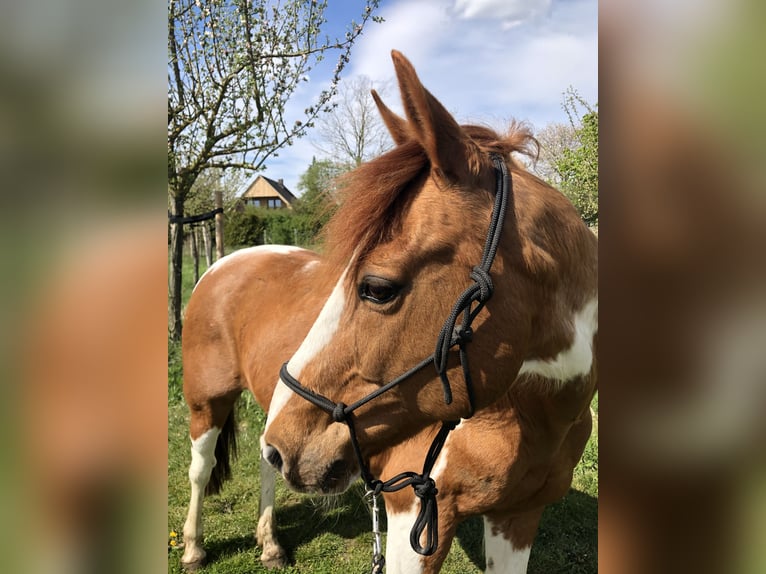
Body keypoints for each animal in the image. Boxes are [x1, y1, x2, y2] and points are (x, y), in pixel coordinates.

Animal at [182, 51, 600, 572]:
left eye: (377, 288)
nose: (288, 443)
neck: (531, 414)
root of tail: (229, 260)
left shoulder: (518, 517)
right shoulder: (412, 519)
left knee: (262, 465)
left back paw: (270, 542)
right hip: (207, 404)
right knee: (201, 471)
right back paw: (193, 546)